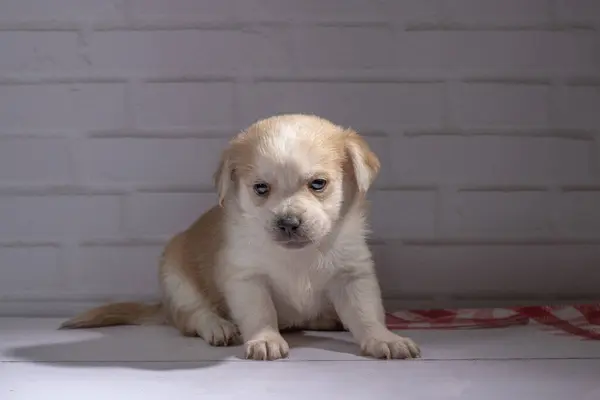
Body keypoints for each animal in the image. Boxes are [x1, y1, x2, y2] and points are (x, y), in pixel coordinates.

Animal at [59, 114, 418, 360]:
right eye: (261, 188)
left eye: (318, 184)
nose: (288, 222)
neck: (298, 256)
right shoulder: (247, 279)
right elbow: (260, 313)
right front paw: (265, 339)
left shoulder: (353, 275)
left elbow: (366, 313)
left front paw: (384, 338)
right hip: (176, 278)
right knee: (193, 316)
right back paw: (219, 326)